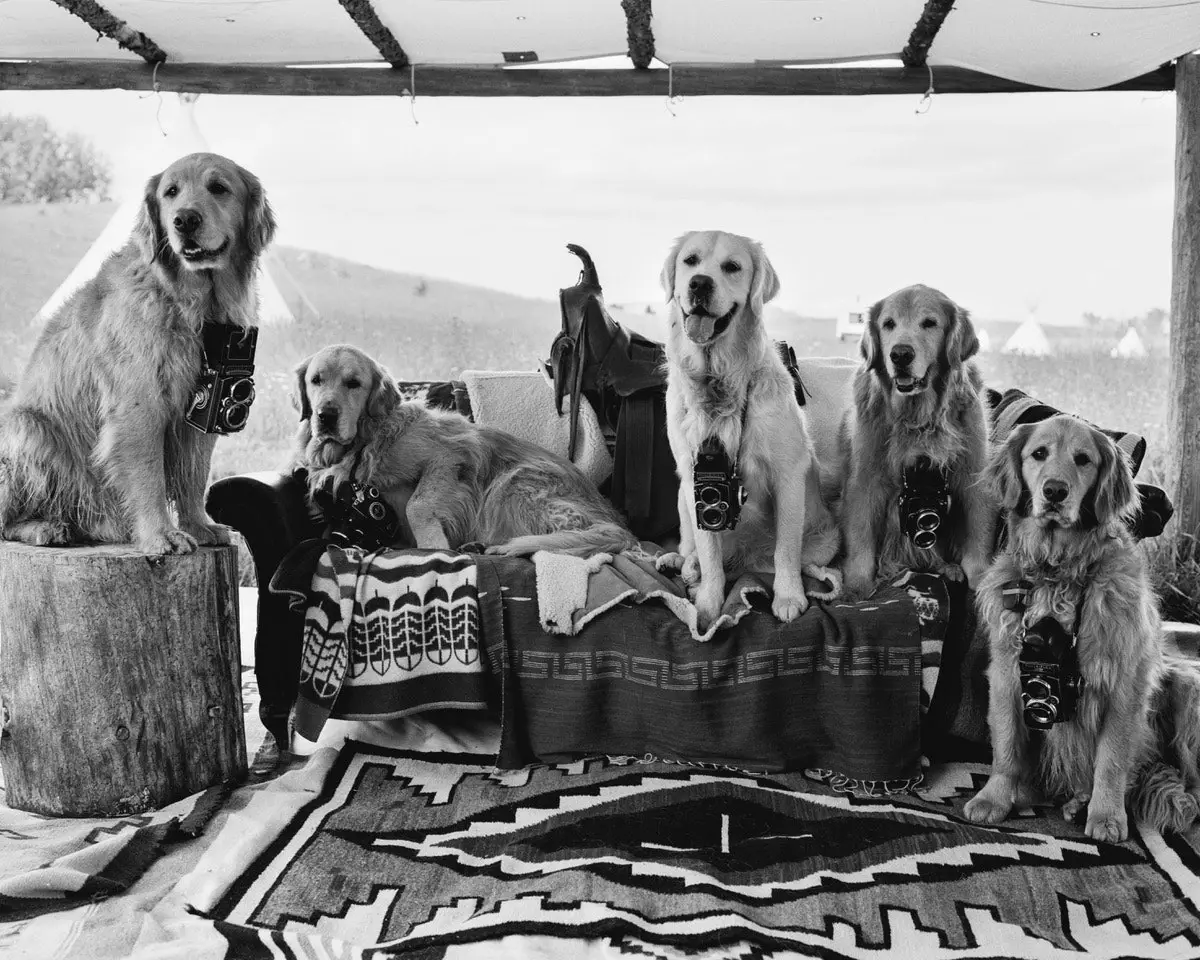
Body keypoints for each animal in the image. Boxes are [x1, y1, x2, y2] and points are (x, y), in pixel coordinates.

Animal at [0, 151, 274, 554]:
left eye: (219, 187)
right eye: (171, 192)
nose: (184, 220)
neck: (191, 306)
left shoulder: (205, 409)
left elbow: (194, 476)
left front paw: (198, 526)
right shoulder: (138, 405)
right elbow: (149, 477)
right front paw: (161, 535)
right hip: (29, 428)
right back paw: (44, 527)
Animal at [291, 343, 643, 554]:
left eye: (353, 383)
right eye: (316, 380)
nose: (325, 416)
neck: (365, 442)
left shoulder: (451, 455)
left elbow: (417, 505)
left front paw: (434, 547)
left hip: (512, 483)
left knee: (604, 533)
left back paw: (507, 547)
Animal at [652, 234, 840, 633]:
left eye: (732, 267)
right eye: (690, 261)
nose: (699, 284)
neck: (719, 377)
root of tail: (746, 560)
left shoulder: (788, 475)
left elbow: (786, 549)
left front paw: (789, 597)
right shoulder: (697, 483)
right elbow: (709, 554)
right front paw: (708, 606)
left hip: (825, 539)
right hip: (681, 497)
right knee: (692, 546)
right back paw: (682, 562)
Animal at [835, 280, 993, 595]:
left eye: (929, 323)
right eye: (888, 324)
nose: (900, 354)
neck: (917, 417)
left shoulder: (972, 474)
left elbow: (978, 533)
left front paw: (980, 580)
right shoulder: (864, 479)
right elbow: (860, 538)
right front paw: (857, 587)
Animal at [960, 415, 1200, 840]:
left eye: (1083, 459)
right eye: (1039, 453)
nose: (1055, 491)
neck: (1059, 568)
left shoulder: (1125, 683)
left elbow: (1112, 757)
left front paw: (1107, 816)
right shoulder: (1007, 671)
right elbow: (1006, 745)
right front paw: (995, 798)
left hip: (1186, 688)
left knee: (1186, 778)